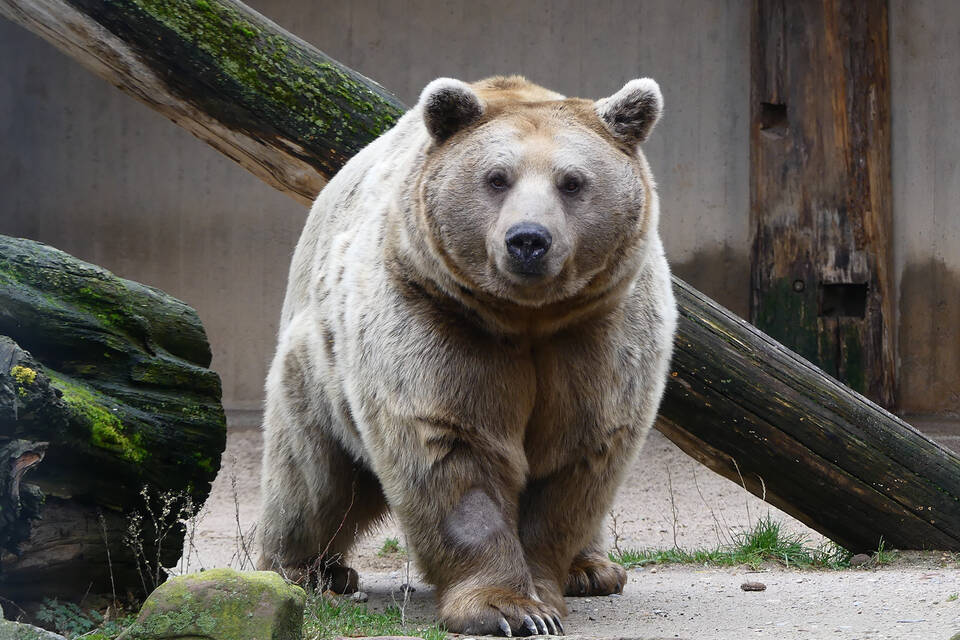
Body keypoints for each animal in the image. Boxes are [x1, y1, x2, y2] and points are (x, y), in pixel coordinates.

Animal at [255, 74, 676, 636]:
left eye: (572, 181)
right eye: (497, 178)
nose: (528, 240)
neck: (527, 319)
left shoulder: (598, 334)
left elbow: (577, 455)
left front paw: (543, 590)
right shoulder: (434, 318)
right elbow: (453, 449)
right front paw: (508, 608)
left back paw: (593, 569)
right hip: (318, 369)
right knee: (311, 481)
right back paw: (306, 570)